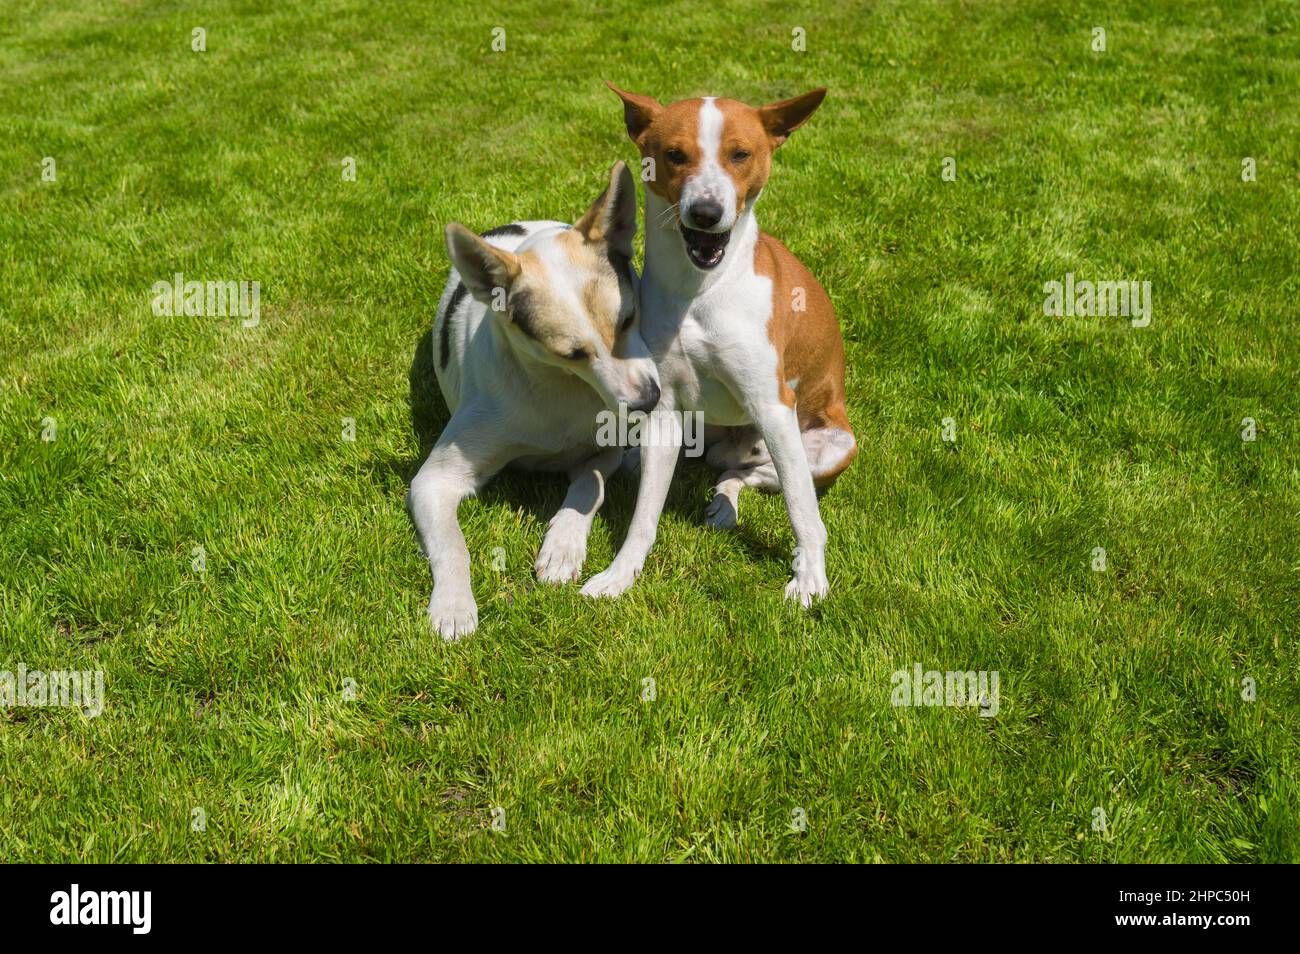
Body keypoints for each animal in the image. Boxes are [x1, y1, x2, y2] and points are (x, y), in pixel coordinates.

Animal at [585, 82, 857, 605]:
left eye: (740, 154)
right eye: (674, 155)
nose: (706, 213)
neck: (699, 290)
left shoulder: (774, 405)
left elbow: (802, 508)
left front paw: (809, 577)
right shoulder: (665, 412)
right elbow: (643, 518)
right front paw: (621, 574)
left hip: (827, 446)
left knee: (762, 477)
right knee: (726, 471)